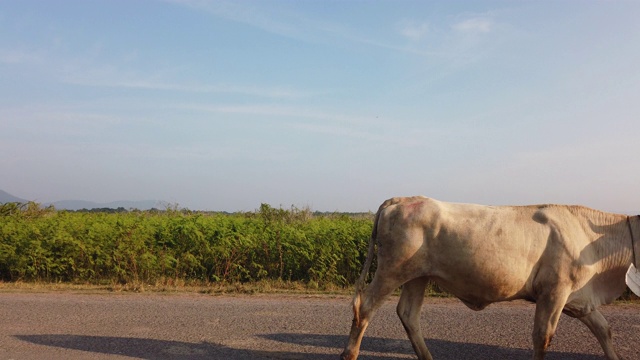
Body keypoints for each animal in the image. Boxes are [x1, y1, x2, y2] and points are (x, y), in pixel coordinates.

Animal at [342, 197, 636, 360]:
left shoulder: (579, 299)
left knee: (408, 314)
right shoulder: (554, 292)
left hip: (418, 276)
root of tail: (401, 198)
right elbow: (542, 337)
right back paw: (350, 354)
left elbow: (604, 330)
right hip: (391, 270)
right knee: (364, 308)